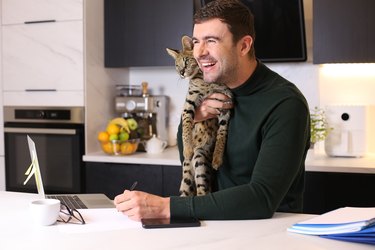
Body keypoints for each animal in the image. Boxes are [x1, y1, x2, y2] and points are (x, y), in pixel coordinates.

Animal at [167, 35, 232, 195]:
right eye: (176, 65)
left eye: (186, 61)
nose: (181, 73)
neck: (204, 77)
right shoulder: (189, 103)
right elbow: (186, 125)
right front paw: (187, 149)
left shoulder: (225, 103)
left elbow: (222, 133)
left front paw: (217, 158)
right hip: (188, 172)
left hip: (200, 156)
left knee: (204, 190)